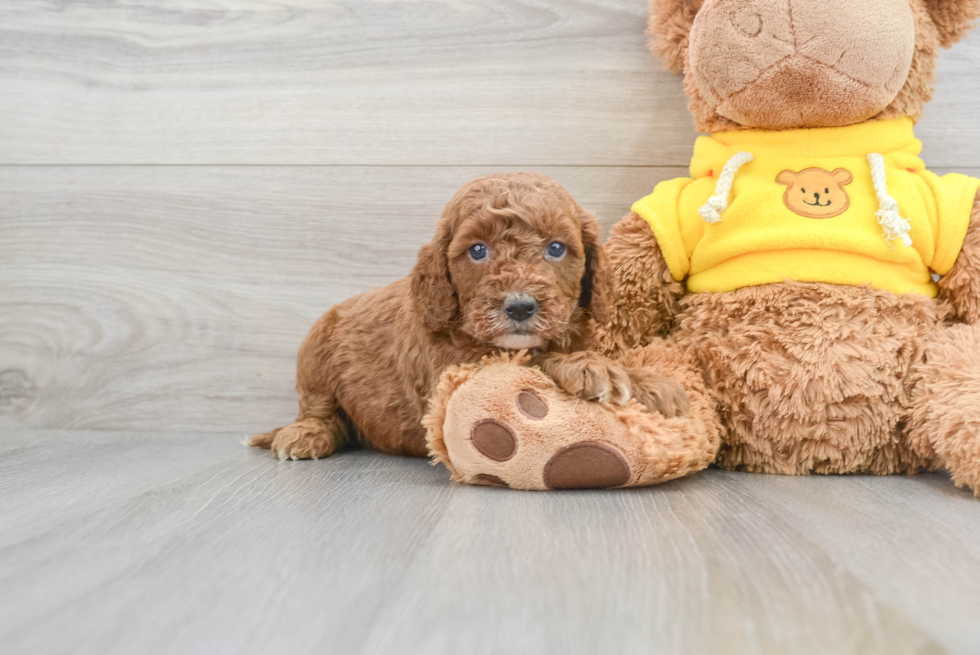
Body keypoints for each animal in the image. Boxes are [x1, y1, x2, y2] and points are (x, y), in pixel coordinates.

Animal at [251, 174, 644, 462]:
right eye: (478, 250)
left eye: (556, 248)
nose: (519, 307)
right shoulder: (452, 372)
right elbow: (527, 364)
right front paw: (589, 368)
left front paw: (634, 377)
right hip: (315, 356)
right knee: (319, 410)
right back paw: (304, 435)